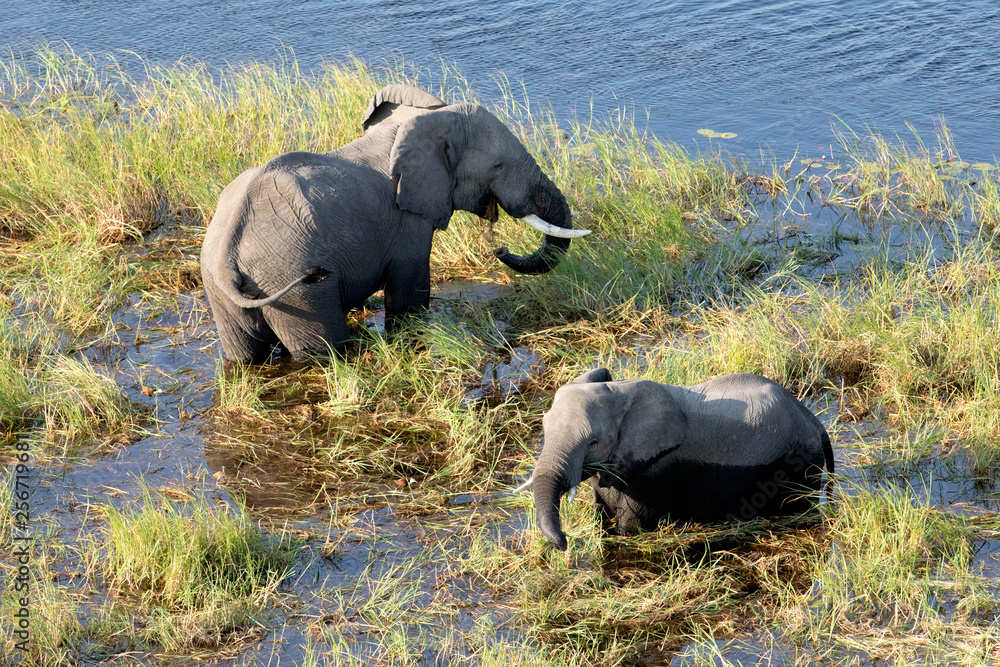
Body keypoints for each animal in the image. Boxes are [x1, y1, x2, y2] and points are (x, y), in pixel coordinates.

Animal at [200, 84, 589, 362]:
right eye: (497, 166)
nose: (500, 248)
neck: (420, 125)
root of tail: (228, 257)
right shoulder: (408, 222)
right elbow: (409, 298)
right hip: (292, 284)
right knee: (321, 349)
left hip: (225, 289)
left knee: (244, 356)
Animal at [517, 368, 835, 550]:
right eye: (544, 428)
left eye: (593, 443)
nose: (565, 543)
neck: (620, 392)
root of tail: (815, 422)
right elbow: (601, 514)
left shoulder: (656, 470)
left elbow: (630, 528)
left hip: (797, 465)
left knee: (796, 508)